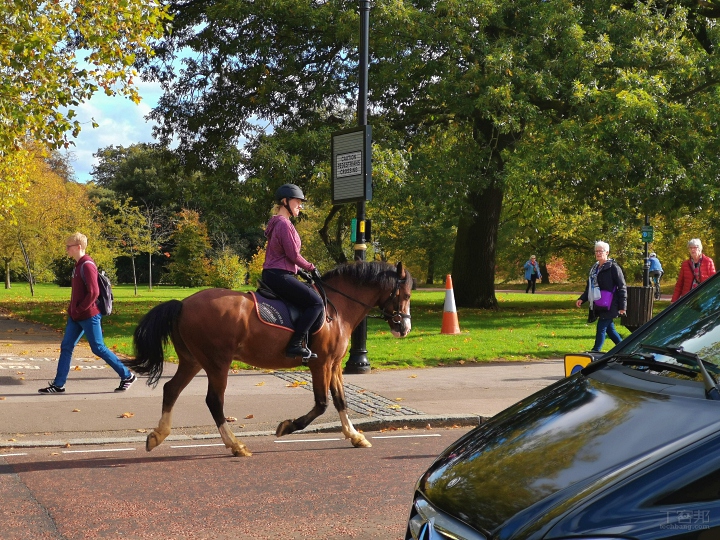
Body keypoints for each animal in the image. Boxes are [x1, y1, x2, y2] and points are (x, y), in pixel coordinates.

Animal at [126, 260, 414, 456]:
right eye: (406, 295)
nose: (404, 328)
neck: (337, 308)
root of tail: (183, 304)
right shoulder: (320, 364)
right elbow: (322, 404)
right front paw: (287, 426)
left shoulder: (334, 365)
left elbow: (341, 400)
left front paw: (355, 436)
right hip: (217, 363)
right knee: (213, 401)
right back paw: (235, 444)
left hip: (192, 361)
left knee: (171, 389)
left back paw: (158, 435)